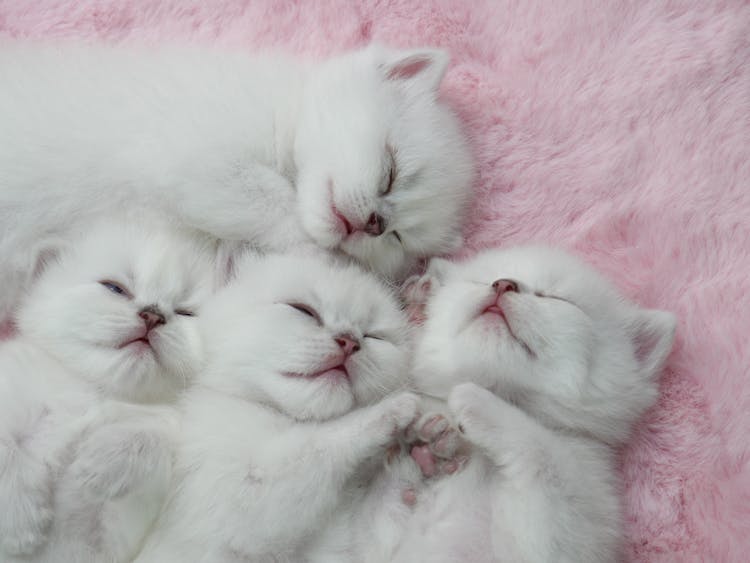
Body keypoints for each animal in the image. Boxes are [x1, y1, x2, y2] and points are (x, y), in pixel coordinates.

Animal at [0, 40, 472, 326]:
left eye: (397, 238)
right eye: (391, 171)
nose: (375, 222)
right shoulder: (201, 158)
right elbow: (279, 208)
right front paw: (331, 256)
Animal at [0, 217, 217, 563]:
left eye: (186, 312)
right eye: (115, 288)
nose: (153, 315)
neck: (97, 392)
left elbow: (154, 438)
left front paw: (98, 461)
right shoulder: (15, 382)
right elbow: (4, 449)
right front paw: (21, 522)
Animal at [134, 252, 418, 563]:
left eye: (374, 336)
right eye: (303, 310)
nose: (350, 341)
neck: (281, 419)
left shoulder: (355, 547)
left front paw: (413, 461)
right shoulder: (238, 498)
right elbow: (322, 444)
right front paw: (399, 407)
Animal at [340, 247, 676, 563]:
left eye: (557, 298)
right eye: (480, 280)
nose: (503, 284)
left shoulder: (576, 517)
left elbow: (542, 452)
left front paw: (473, 401)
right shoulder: (365, 547)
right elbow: (369, 529)